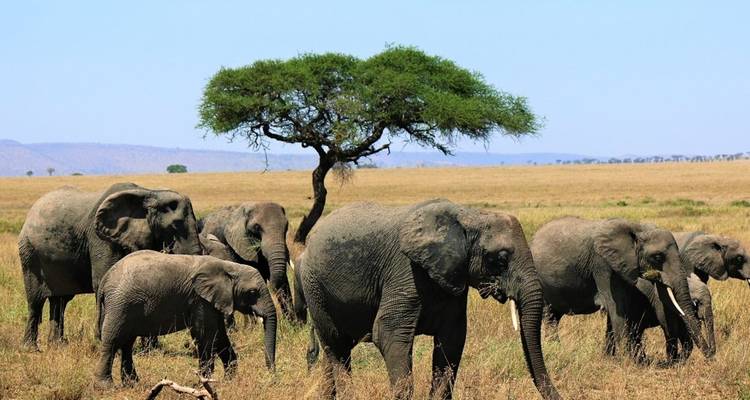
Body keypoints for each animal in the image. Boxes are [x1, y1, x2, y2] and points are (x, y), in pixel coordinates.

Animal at [18, 182, 203, 349]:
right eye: (175, 225)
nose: (190, 345)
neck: (149, 192)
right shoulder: (100, 237)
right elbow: (103, 279)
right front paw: (106, 340)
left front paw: (151, 349)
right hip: (29, 253)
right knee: (35, 300)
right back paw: (30, 348)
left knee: (60, 301)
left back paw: (58, 345)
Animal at [94, 250, 277, 387]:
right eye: (252, 292)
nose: (270, 374)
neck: (229, 266)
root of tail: (106, 278)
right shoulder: (200, 300)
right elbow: (206, 335)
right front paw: (205, 382)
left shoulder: (213, 301)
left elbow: (219, 337)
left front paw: (228, 381)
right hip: (120, 305)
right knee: (112, 341)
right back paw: (106, 387)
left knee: (127, 343)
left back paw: (132, 384)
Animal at [300, 200, 561, 400]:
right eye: (501, 258)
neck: (469, 216)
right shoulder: (405, 271)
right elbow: (388, 334)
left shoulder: (453, 279)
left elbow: (451, 341)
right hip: (315, 288)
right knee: (337, 346)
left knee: (333, 351)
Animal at [533, 217, 712, 362]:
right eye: (658, 257)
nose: (710, 358)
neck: (636, 228)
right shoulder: (602, 264)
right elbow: (615, 308)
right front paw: (627, 361)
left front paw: (611, 359)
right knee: (550, 316)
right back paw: (556, 350)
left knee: (554, 316)